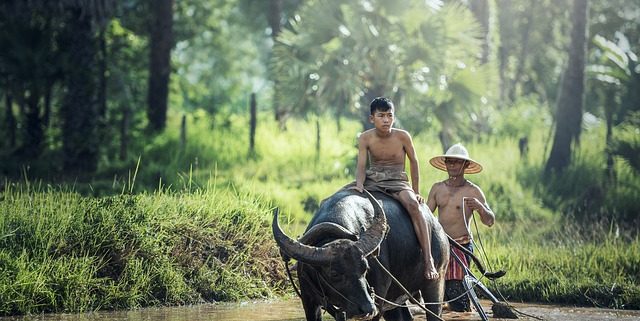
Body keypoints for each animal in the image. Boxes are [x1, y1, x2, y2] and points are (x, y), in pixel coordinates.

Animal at [272, 189, 448, 318]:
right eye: (334, 273)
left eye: (365, 268)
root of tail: (437, 226)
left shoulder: (378, 303)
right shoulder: (309, 302)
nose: (367, 308)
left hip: (436, 283)